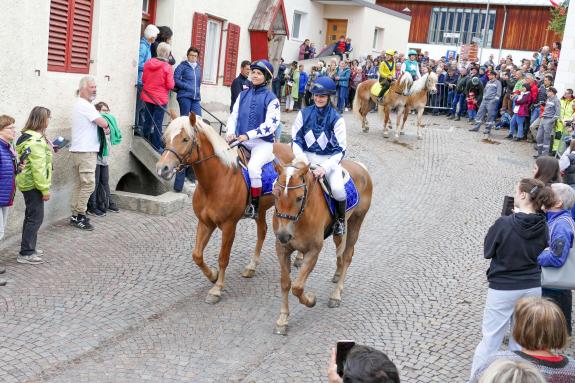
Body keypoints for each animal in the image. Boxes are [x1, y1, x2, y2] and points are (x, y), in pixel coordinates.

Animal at [156, 112, 294, 304]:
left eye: (185, 139)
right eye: (166, 138)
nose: (162, 168)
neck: (216, 181)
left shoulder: (229, 226)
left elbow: (223, 258)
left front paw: (217, 289)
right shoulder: (205, 222)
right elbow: (197, 255)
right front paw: (212, 275)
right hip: (260, 210)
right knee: (262, 231)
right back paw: (251, 267)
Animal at [272, 160, 374, 334]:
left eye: (299, 198)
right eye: (276, 194)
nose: (284, 235)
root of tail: (361, 167)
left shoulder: (313, 251)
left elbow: (297, 287)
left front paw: (311, 300)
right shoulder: (282, 249)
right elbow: (286, 283)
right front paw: (282, 320)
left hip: (356, 221)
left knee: (347, 256)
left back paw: (336, 295)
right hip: (338, 233)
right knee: (340, 252)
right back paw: (337, 274)